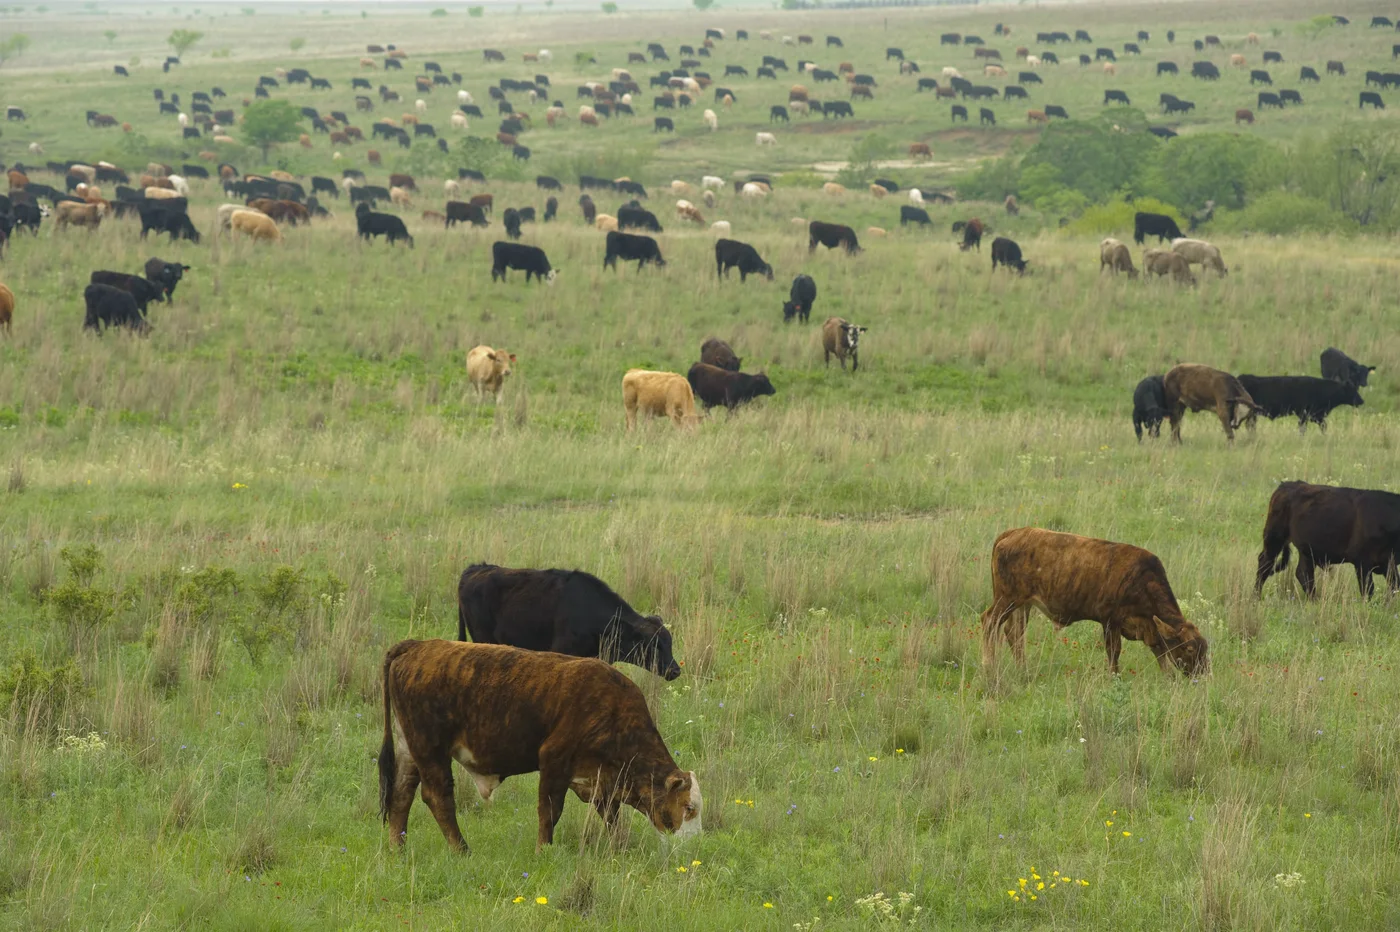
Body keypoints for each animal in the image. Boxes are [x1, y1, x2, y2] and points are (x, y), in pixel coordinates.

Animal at [378, 639, 699, 853]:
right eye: (689, 807)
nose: (692, 847)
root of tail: (418, 646)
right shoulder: (554, 759)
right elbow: (550, 811)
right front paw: (544, 849)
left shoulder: (600, 779)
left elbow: (611, 816)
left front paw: (618, 846)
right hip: (430, 747)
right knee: (437, 797)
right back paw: (461, 850)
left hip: (410, 747)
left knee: (401, 794)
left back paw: (397, 848)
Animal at [980, 527, 1208, 675]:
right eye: (1189, 648)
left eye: (1204, 647)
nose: (1202, 672)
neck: (1141, 580)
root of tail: (1013, 533)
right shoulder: (1110, 622)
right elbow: (1114, 653)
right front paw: (1114, 677)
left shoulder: (1150, 628)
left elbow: (1161, 655)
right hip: (1007, 599)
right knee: (989, 621)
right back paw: (988, 665)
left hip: (1022, 604)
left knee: (1014, 633)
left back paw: (1023, 669)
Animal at [1255, 482, 1400, 599]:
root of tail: (1287, 485)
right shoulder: (1361, 561)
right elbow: (1368, 590)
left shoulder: (1389, 563)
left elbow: (1394, 587)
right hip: (1274, 536)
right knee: (1265, 564)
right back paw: (1256, 597)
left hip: (1307, 550)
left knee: (1303, 573)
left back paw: (1313, 600)